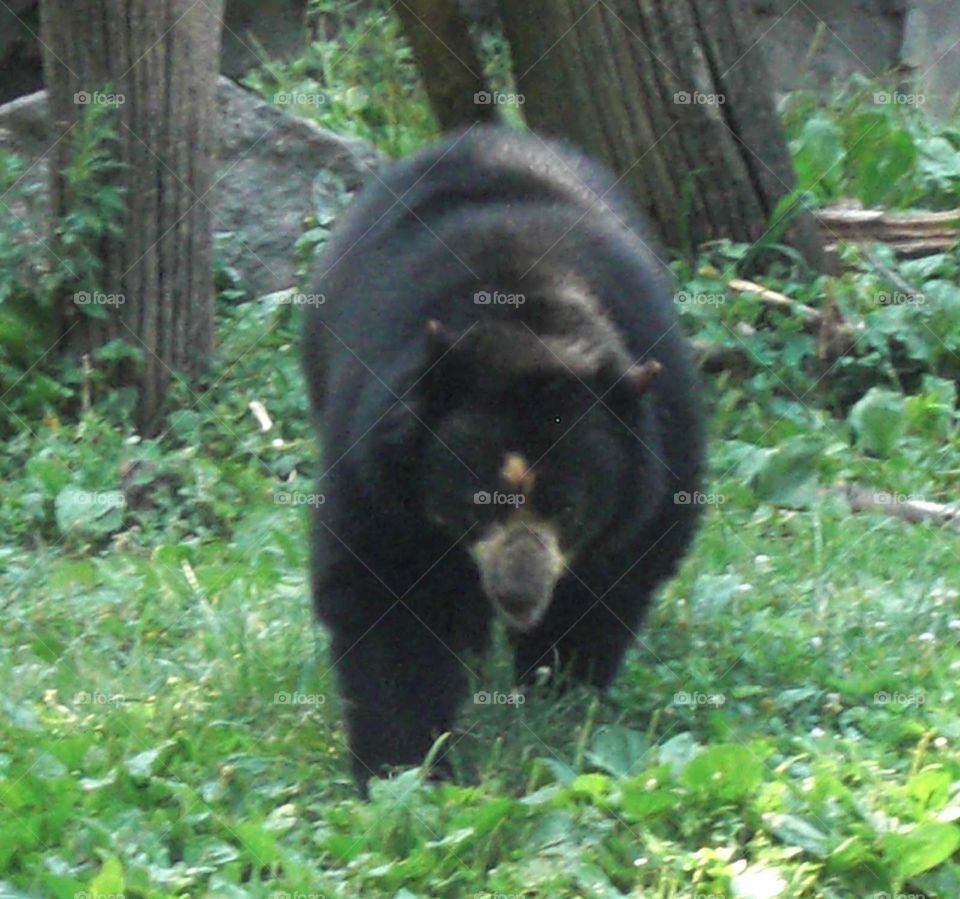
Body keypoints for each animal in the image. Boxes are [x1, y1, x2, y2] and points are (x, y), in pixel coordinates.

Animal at [302, 126, 705, 794]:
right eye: (475, 502)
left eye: (568, 509)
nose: (517, 597)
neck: (527, 317)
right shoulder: (374, 464)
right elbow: (384, 595)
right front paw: (400, 771)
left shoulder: (662, 445)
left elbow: (614, 576)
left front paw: (559, 690)